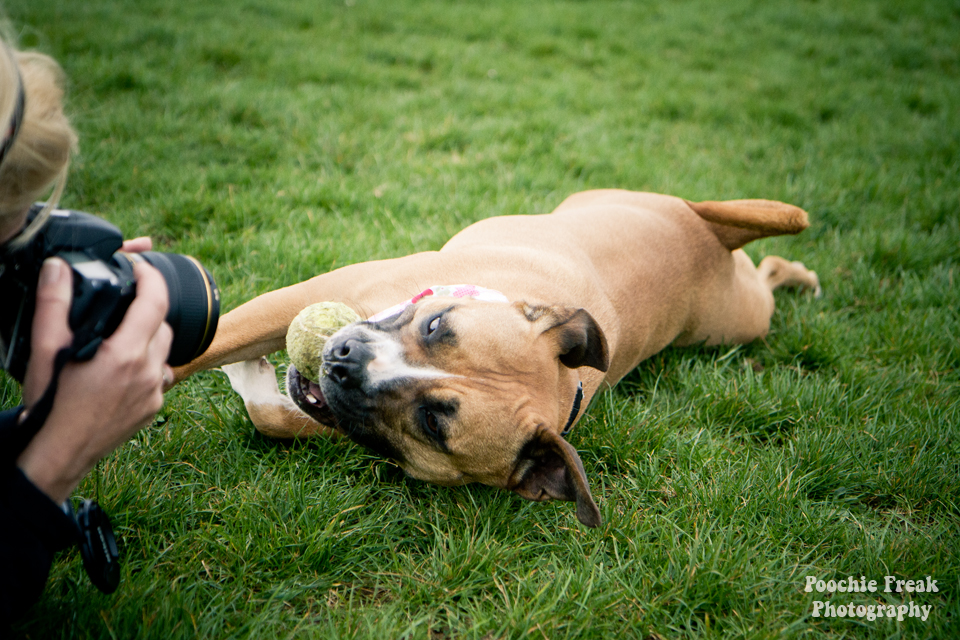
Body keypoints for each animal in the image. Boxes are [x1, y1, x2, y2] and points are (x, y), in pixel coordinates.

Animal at [172, 189, 816, 524]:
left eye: (433, 422)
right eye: (437, 325)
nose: (342, 358)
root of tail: (705, 237)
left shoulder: (341, 411)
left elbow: (275, 413)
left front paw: (249, 378)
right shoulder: (301, 297)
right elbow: (210, 345)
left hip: (739, 321)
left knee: (769, 271)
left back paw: (802, 277)